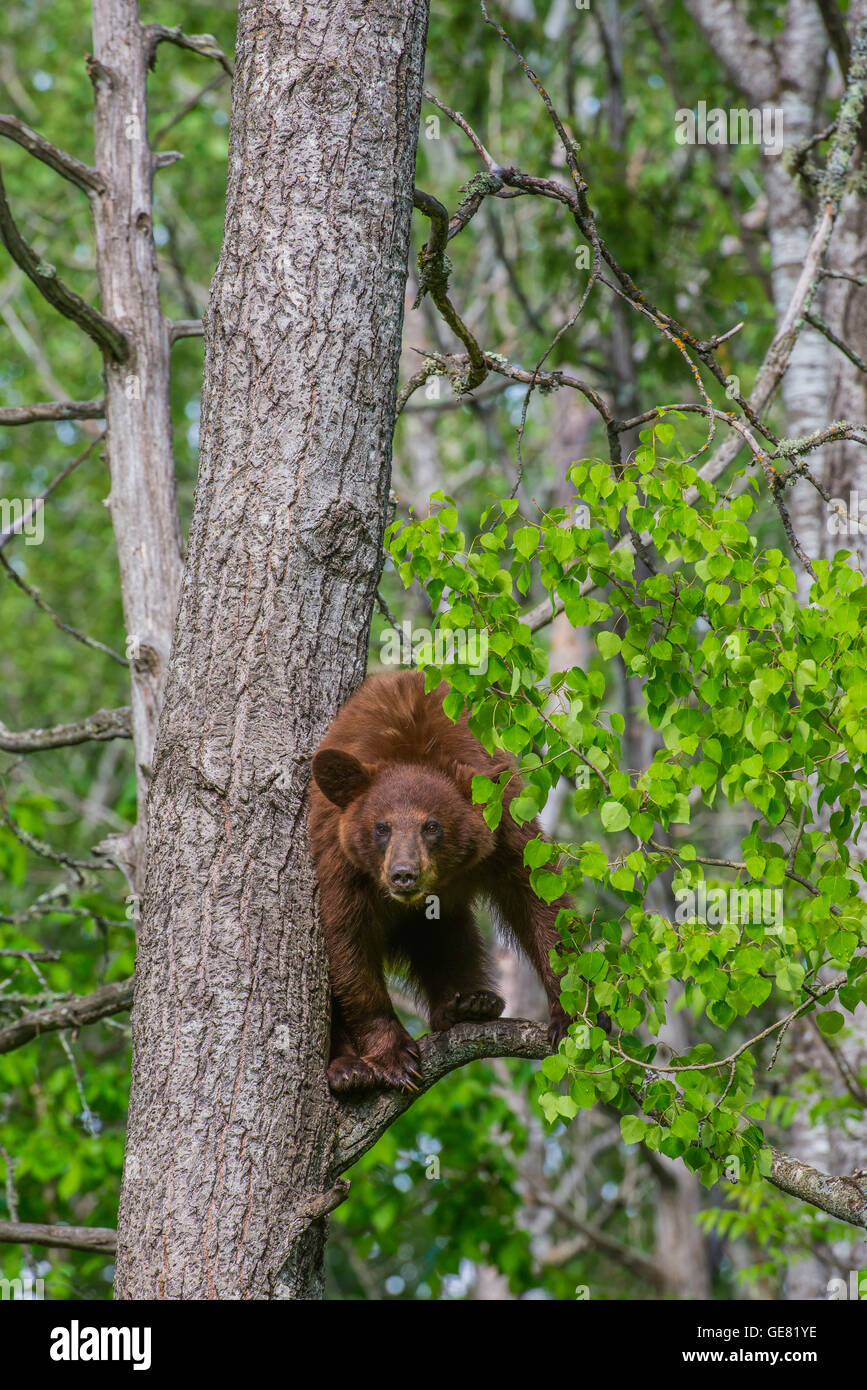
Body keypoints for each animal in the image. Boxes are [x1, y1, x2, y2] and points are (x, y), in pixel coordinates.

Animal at [308, 669, 571, 1094]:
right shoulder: (340, 856)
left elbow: (536, 893)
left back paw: (467, 1003)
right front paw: (393, 1056)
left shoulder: (502, 823)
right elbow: (345, 938)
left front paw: (571, 1013)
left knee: (450, 936)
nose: (403, 874)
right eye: (381, 827)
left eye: (432, 826)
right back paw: (347, 1070)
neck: (411, 749)